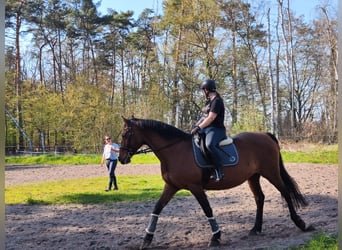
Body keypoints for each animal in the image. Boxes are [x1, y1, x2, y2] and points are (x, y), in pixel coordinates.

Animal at [119, 117, 314, 250]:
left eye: (126, 134)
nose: (121, 158)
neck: (175, 151)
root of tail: (265, 135)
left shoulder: (195, 187)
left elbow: (207, 209)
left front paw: (216, 237)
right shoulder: (171, 186)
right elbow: (157, 208)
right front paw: (147, 239)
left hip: (271, 173)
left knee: (285, 193)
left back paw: (301, 224)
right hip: (253, 176)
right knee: (260, 198)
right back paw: (256, 228)